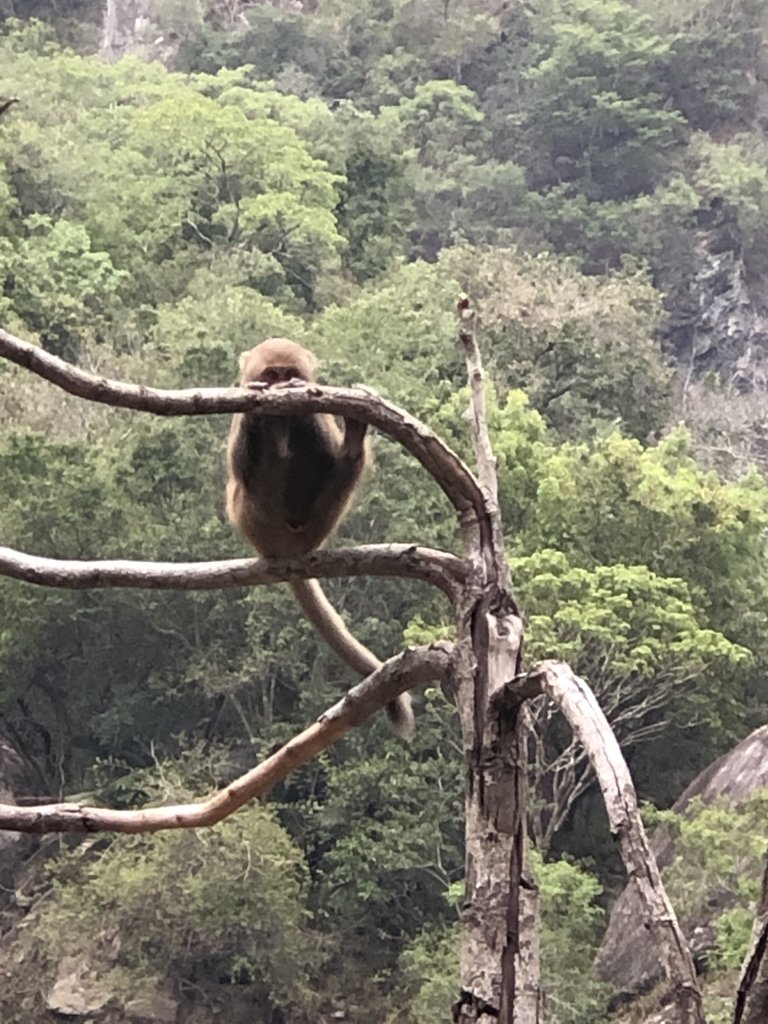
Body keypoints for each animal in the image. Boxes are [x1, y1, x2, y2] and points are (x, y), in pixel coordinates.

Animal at [225, 339, 415, 741]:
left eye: (289, 375)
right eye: (271, 375)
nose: (282, 388)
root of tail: (288, 550)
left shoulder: (315, 416)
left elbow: (324, 458)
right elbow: (239, 466)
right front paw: (259, 414)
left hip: (317, 525)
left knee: (339, 468)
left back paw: (350, 446)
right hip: (254, 520)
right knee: (256, 479)